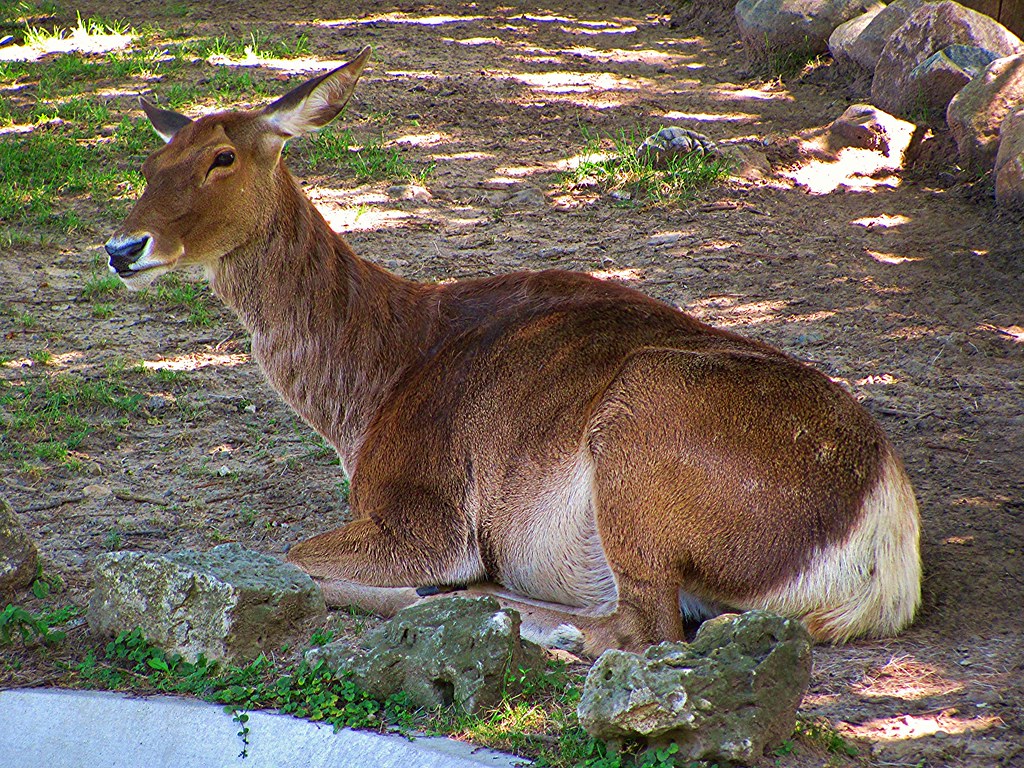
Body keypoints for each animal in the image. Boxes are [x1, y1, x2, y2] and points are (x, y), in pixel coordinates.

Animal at [104, 47, 922, 656]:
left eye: (221, 157)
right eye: (149, 164)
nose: (121, 247)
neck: (368, 393)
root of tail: (883, 554)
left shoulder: (427, 516)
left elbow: (288, 559)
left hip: (640, 443)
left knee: (645, 629)